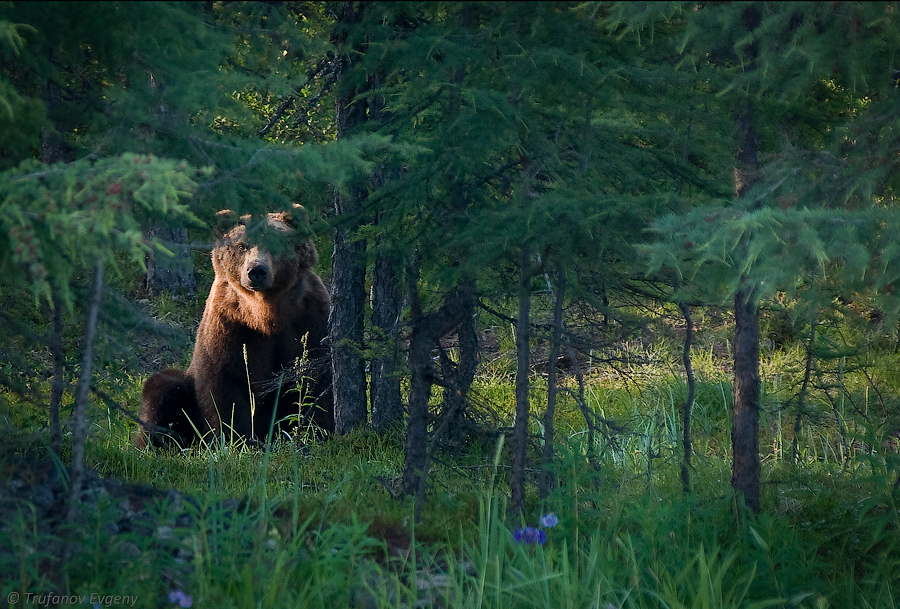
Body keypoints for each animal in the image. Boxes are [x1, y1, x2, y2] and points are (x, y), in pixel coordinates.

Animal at [132, 207, 332, 448]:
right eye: (242, 245)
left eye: (276, 242)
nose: (256, 271)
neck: (265, 313)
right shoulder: (230, 325)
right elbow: (226, 387)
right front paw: (236, 440)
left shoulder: (308, 319)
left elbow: (315, 377)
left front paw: (318, 430)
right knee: (162, 388)